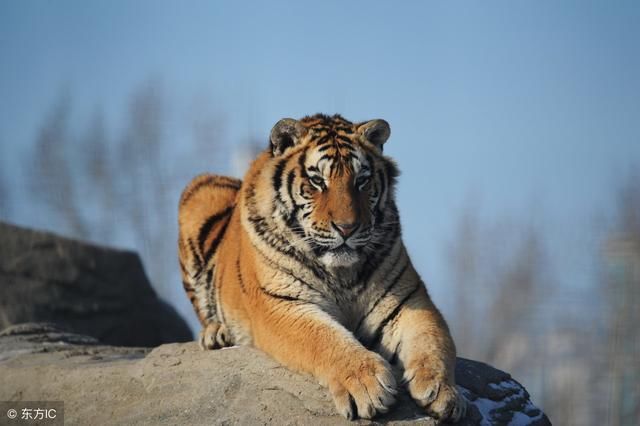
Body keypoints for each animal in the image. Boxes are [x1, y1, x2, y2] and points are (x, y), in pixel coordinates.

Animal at [179, 114, 464, 422]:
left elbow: (433, 339)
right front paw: (368, 385)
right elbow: (326, 339)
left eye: (362, 181)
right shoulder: (281, 304)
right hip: (198, 191)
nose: (347, 228)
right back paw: (217, 334)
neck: (341, 273)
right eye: (317, 181)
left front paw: (443, 392)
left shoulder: (407, 301)